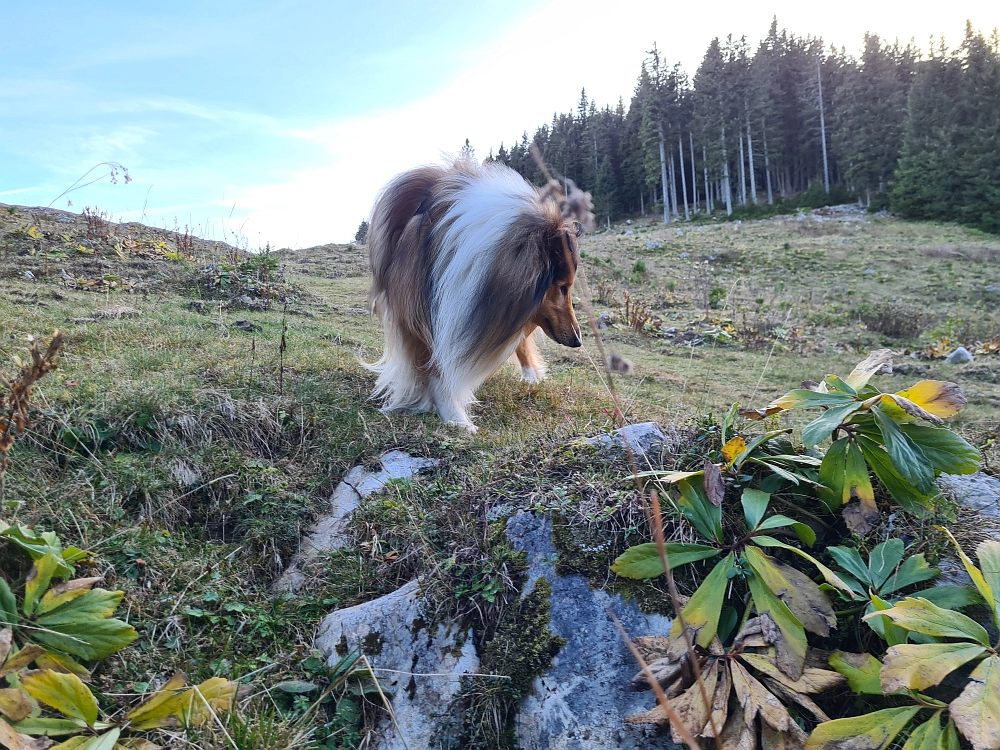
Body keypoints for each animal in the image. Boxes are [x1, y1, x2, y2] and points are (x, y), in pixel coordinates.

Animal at [364, 157, 584, 434]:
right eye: (563, 286)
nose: (578, 340)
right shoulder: (422, 309)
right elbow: (435, 364)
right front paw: (455, 416)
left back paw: (531, 375)